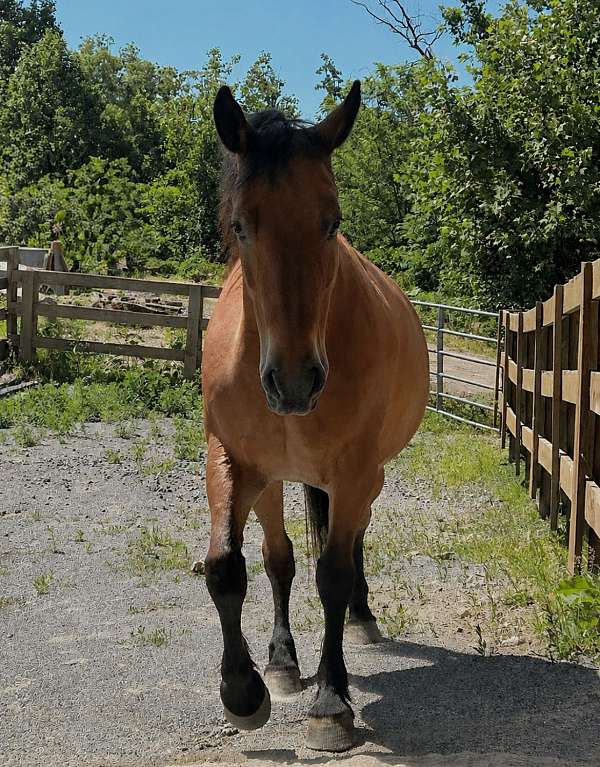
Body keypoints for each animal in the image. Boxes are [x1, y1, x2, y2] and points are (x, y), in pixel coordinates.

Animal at [202, 80, 429, 752]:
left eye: (332, 222)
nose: (296, 381)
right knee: (283, 558)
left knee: (351, 547)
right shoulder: (234, 460)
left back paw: (361, 617)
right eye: (242, 225)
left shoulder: (354, 473)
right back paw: (281, 662)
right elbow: (231, 567)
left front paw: (332, 703)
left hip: (366, 479)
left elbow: (333, 572)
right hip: (277, 480)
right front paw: (246, 690)